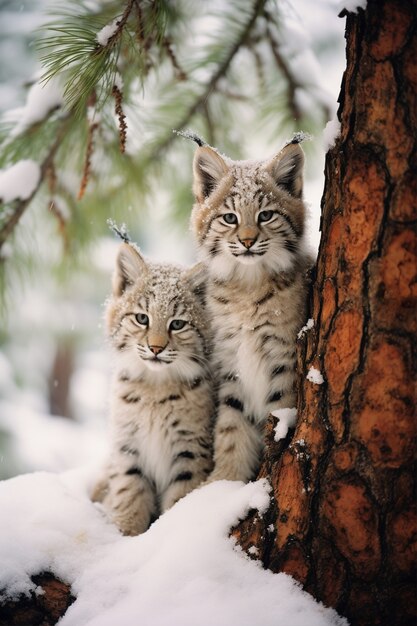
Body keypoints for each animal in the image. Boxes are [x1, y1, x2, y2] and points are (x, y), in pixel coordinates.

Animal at [92, 241, 213, 532]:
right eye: (142, 318)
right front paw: (127, 533)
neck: (154, 387)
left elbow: (181, 497)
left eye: (177, 324)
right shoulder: (128, 445)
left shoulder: (191, 449)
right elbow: (129, 492)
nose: (156, 349)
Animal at [190, 140, 310, 482]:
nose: (246, 242)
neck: (247, 284)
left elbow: (278, 410)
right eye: (230, 218)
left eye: (266, 215)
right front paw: (223, 484)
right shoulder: (231, 359)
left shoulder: (283, 356)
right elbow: (231, 426)